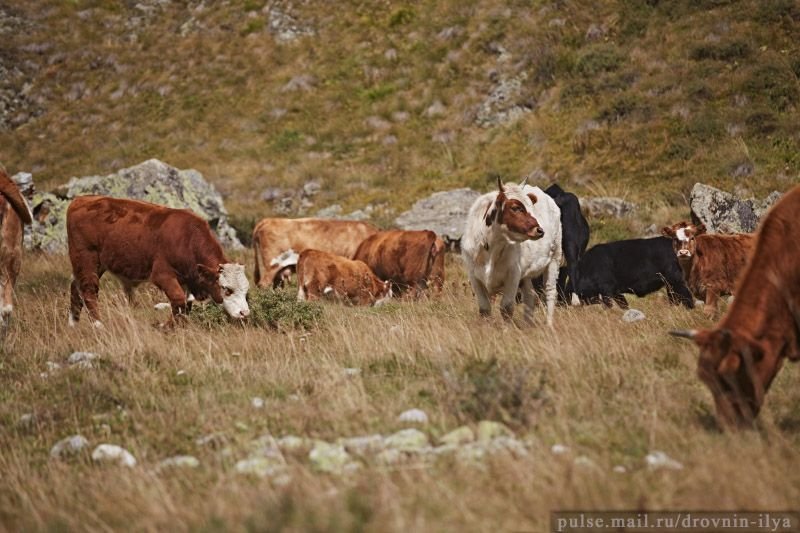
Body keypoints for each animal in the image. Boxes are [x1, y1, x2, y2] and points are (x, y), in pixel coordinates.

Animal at [67, 195, 248, 324]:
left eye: (246, 290)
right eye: (226, 289)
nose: (244, 313)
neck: (186, 238)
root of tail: (81, 199)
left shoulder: (186, 280)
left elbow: (185, 306)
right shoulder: (162, 275)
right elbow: (179, 301)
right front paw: (165, 327)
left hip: (95, 265)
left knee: (76, 288)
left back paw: (74, 324)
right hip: (87, 260)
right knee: (89, 291)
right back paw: (98, 325)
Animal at [460, 178, 564, 324]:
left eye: (531, 207)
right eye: (515, 208)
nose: (539, 230)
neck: (492, 247)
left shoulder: (513, 275)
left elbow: (506, 307)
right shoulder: (474, 276)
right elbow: (485, 309)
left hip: (555, 257)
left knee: (550, 292)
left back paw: (549, 325)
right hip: (527, 274)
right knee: (530, 296)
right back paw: (527, 325)